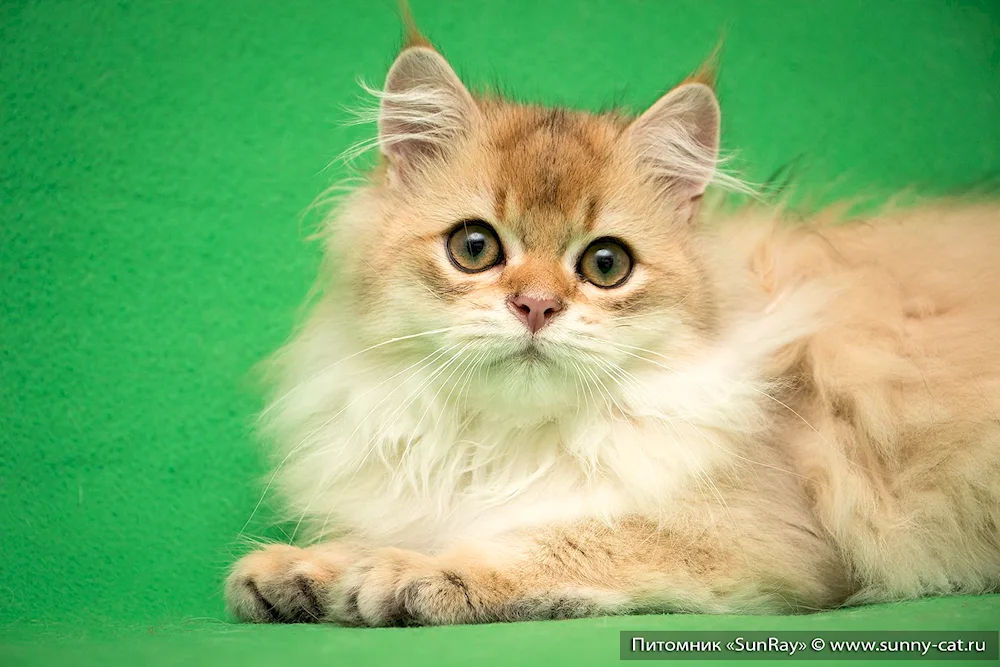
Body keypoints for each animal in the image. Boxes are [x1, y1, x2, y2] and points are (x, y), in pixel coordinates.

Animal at [227, 13, 1000, 628]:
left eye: (606, 265)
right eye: (474, 248)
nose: (536, 306)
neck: (503, 444)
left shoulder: (755, 539)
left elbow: (546, 538)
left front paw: (410, 571)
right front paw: (305, 570)